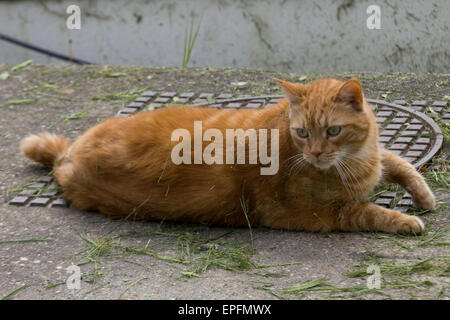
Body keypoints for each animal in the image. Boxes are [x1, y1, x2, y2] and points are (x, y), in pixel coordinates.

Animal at [21, 77, 436, 232]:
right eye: (302, 133)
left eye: (332, 131)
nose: (316, 154)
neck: (353, 159)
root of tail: (68, 159)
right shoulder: (314, 215)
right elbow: (365, 211)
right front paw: (404, 220)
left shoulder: (376, 156)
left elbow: (398, 162)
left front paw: (424, 194)